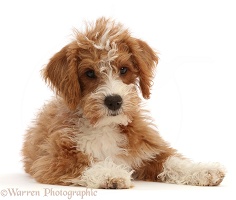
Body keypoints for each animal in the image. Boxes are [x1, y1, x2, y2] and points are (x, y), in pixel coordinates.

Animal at [22, 17, 225, 189]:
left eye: (124, 69)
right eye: (89, 73)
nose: (113, 101)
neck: (105, 126)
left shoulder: (148, 150)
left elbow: (171, 161)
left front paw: (203, 170)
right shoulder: (51, 161)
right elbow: (81, 164)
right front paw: (110, 173)